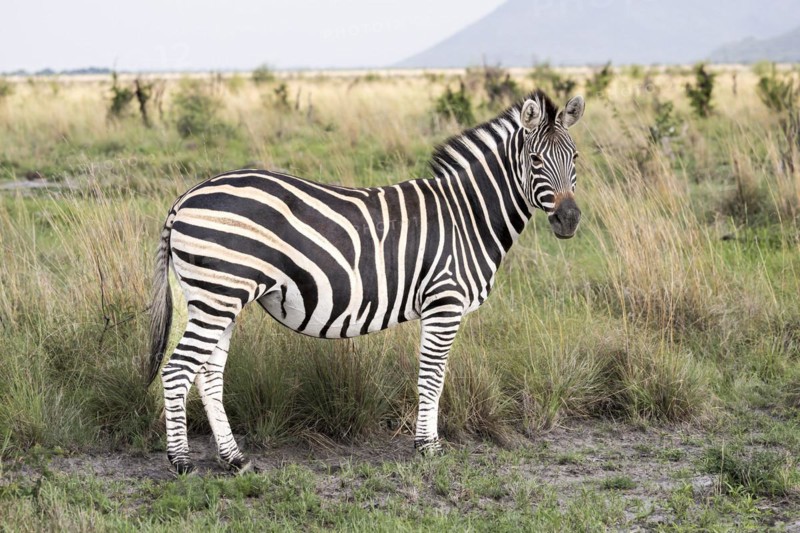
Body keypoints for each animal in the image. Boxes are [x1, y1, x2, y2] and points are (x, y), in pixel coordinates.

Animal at [147, 89, 585, 475]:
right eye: (534, 159)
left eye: (575, 157)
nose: (569, 220)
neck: (468, 216)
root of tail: (184, 198)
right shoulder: (444, 301)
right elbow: (432, 376)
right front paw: (428, 447)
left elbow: (433, 376)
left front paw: (426, 443)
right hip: (218, 295)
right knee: (177, 370)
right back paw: (181, 463)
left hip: (219, 298)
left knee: (208, 375)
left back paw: (234, 459)